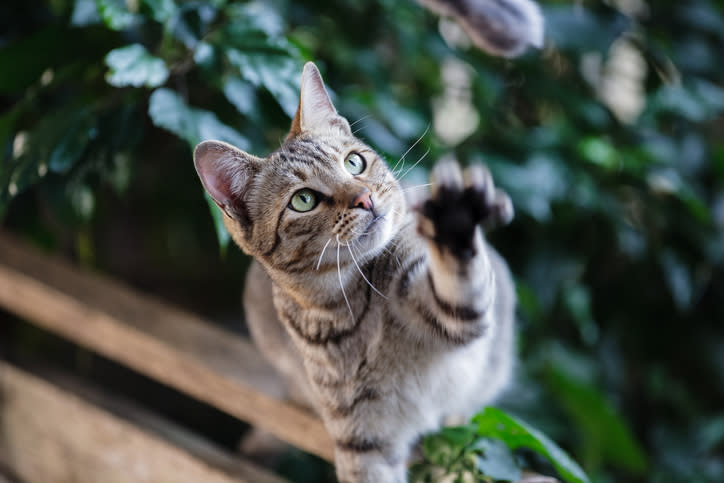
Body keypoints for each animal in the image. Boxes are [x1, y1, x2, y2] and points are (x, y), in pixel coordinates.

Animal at [194, 64, 516, 483]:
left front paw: (456, 220)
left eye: (353, 163)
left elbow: (459, 289)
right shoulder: (364, 438)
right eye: (303, 200)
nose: (364, 198)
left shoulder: (453, 310)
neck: (359, 306)